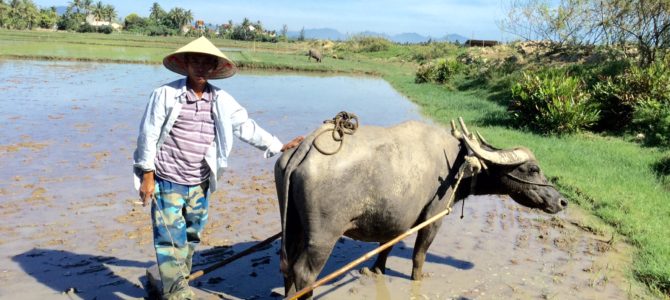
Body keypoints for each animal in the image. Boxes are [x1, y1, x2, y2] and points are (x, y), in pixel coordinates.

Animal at [276, 119, 568, 298]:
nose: (561, 201)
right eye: (533, 169)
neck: (458, 164)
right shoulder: (433, 217)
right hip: (322, 237)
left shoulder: (399, 218)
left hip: (293, 225)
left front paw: (376, 270)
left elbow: (388, 245)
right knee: (304, 273)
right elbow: (419, 254)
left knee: (288, 265)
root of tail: (305, 147)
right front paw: (418, 278)